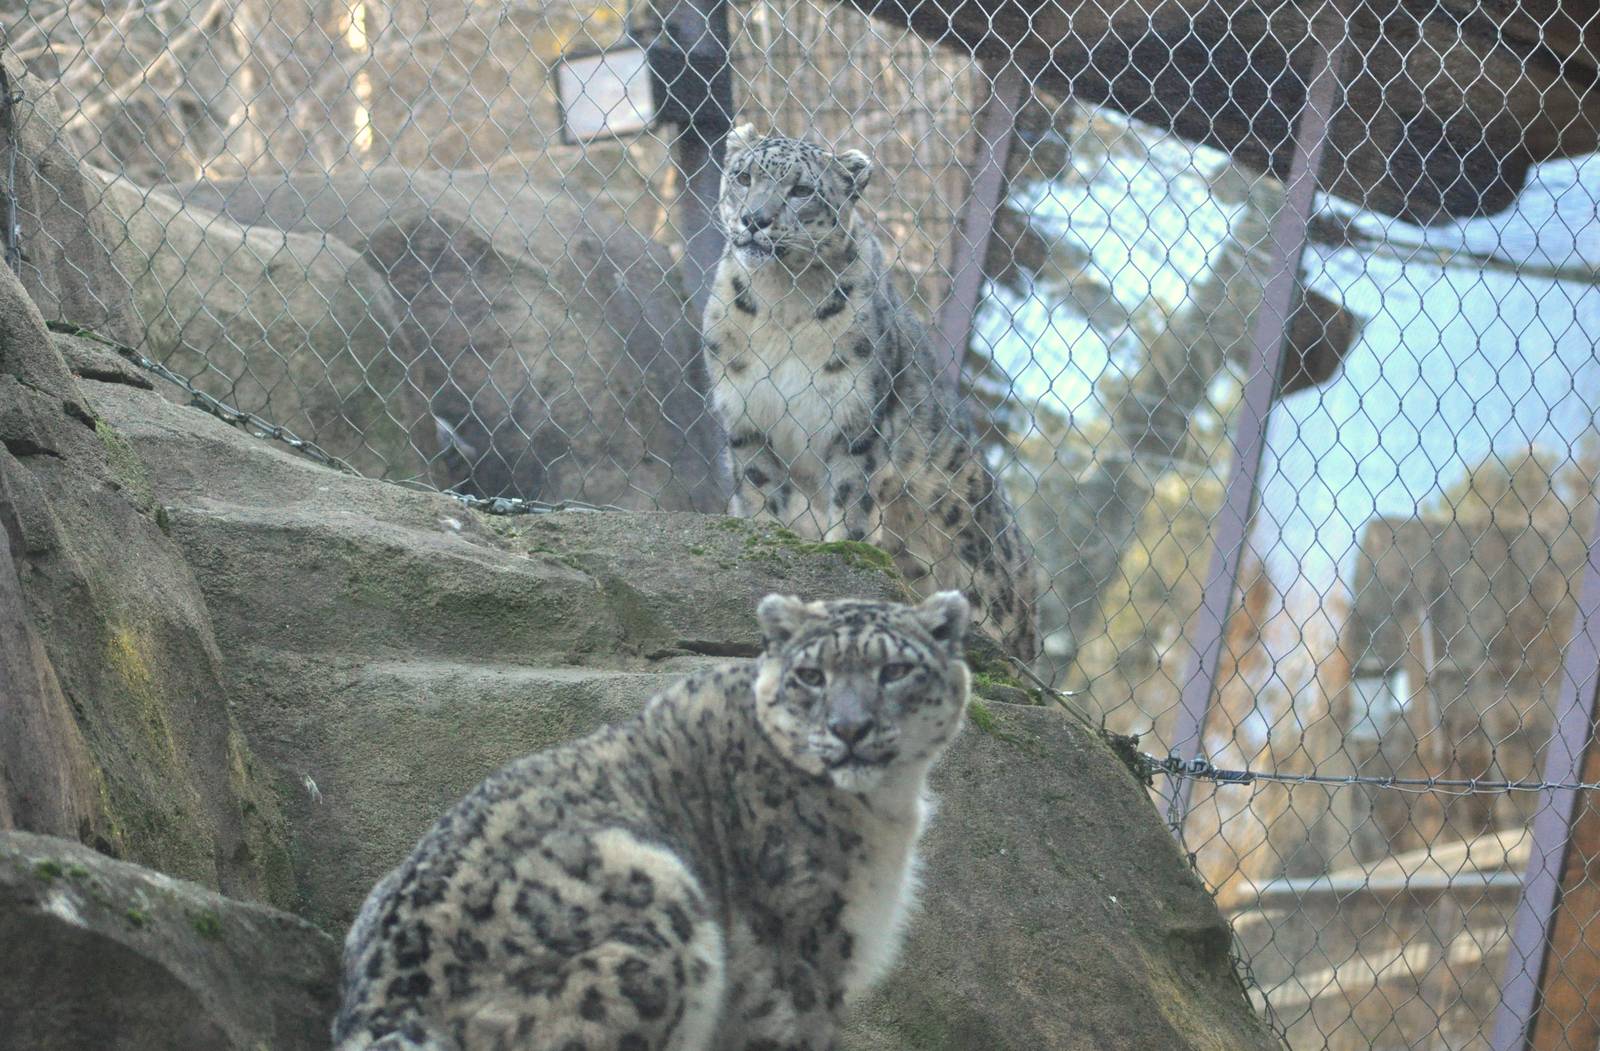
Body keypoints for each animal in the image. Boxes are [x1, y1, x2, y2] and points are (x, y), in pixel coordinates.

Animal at [331, 591, 974, 1051]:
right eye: (811, 676)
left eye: (894, 670)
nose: (849, 728)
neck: (889, 806)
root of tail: (389, 1009)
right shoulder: (800, 950)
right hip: (659, 914)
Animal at [700, 124, 1041, 662]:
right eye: (743, 176)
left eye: (802, 189)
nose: (756, 219)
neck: (780, 303)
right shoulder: (746, 418)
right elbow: (760, 491)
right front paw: (766, 537)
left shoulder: (856, 419)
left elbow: (850, 497)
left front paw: (842, 552)